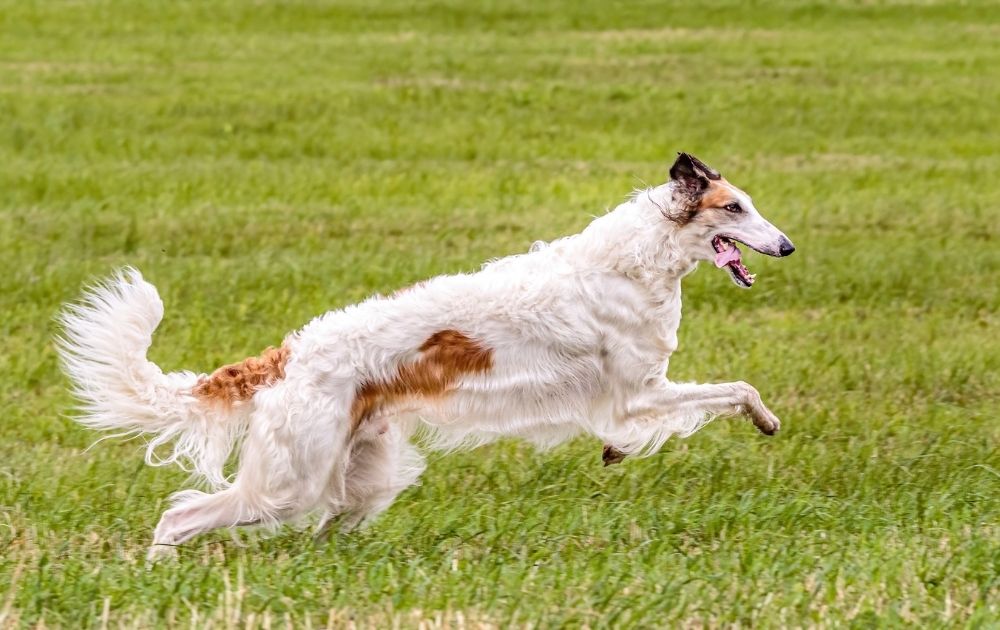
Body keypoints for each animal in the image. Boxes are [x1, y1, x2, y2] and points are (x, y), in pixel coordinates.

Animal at [56, 154, 796, 564]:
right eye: (735, 207)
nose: (787, 246)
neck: (635, 262)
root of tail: (290, 353)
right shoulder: (639, 390)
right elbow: (737, 389)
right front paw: (767, 421)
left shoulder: (639, 393)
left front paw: (617, 452)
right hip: (290, 481)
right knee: (181, 515)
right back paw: (154, 566)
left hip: (361, 473)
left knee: (323, 530)